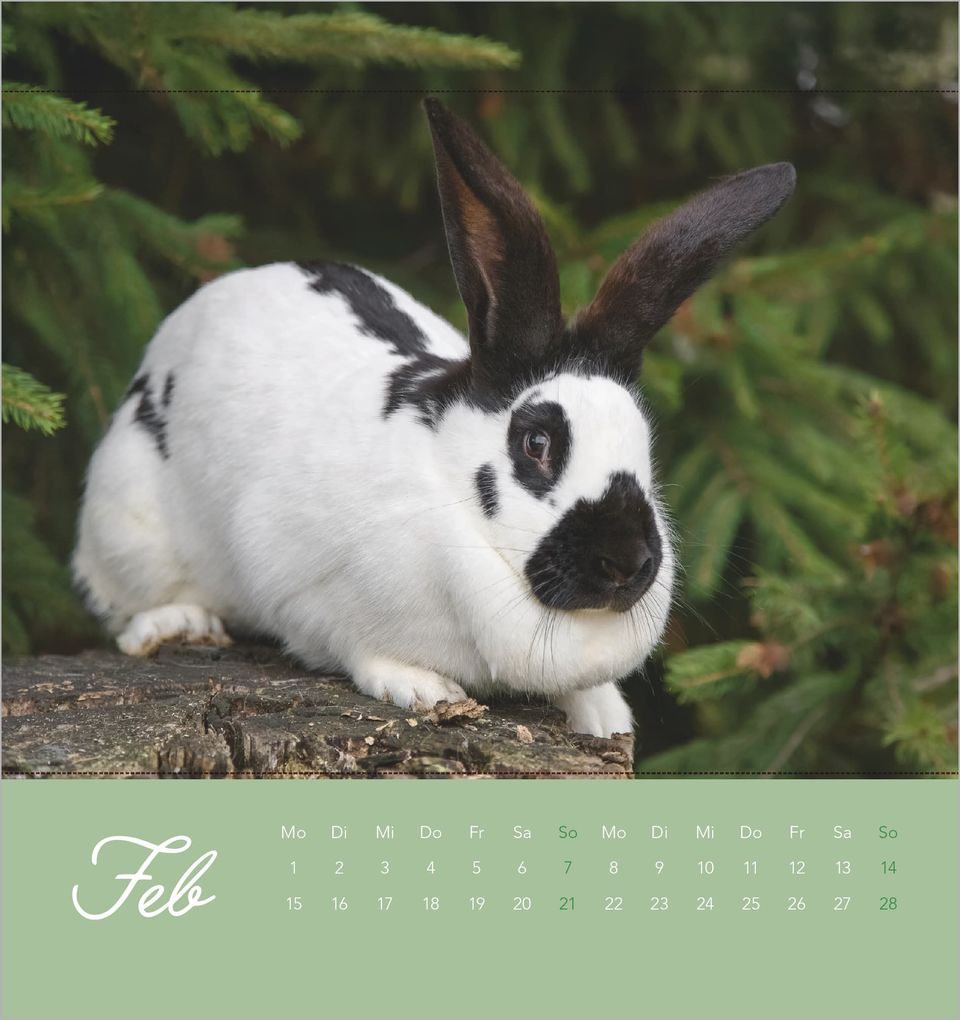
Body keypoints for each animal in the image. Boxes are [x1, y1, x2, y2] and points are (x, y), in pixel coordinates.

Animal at [72, 98, 795, 739]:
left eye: (644, 446)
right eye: (537, 443)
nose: (628, 562)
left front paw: (601, 712)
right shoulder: (296, 579)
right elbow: (352, 644)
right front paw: (424, 688)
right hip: (126, 517)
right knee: (120, 606)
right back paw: (177, 623)